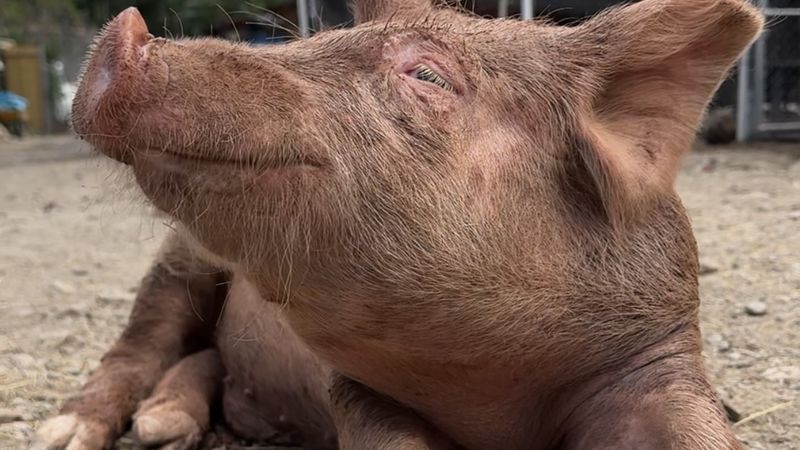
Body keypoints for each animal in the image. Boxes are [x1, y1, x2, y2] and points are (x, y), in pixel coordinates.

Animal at [31, 0, 763, 449]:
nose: (126, 30)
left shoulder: (658, 351)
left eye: (429, 76)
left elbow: (696, 431)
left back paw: (163, 428)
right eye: (321, 38)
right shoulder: (352, 390)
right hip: (180, 258)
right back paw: (65, 436)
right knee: (144, 342)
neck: (492, 398)